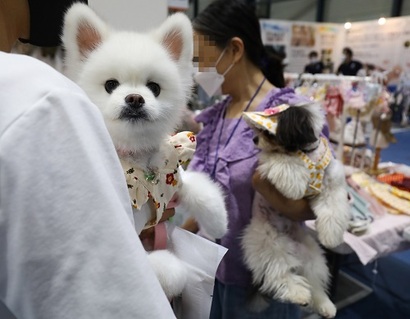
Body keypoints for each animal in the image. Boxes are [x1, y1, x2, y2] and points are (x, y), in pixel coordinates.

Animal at [62, 3, 227, 300]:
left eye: (154, 88)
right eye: (111, 85)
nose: (135, 99)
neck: (138, 160)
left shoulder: (171, 173)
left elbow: (197, 185)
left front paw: (218, 220)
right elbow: (150, 265)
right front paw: (171, 271)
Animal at [242, 104, 350, 318]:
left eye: (268, 132)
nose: (254, 139)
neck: (307, 153)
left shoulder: (331, 184)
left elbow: (333, 208)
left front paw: (331, 236)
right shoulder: (273, 161)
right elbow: (284, 162)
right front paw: (295, 184)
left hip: (312, 256)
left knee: (313, 282)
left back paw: (324, 304)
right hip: (269, 244)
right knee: (279, 274)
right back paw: (298, 294)